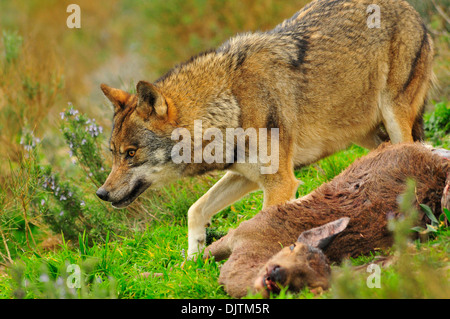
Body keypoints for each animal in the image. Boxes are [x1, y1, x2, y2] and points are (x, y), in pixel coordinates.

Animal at [96, 0, 436, 258]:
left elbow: (264, 223)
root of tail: (411, 9)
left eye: (131, 153)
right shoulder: (245, 176)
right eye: (113, 153)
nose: (101, 193)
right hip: (371, 137)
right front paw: (192, 260)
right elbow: (195, 210)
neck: (230, 103)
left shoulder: (280, 182)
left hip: (394, 119)